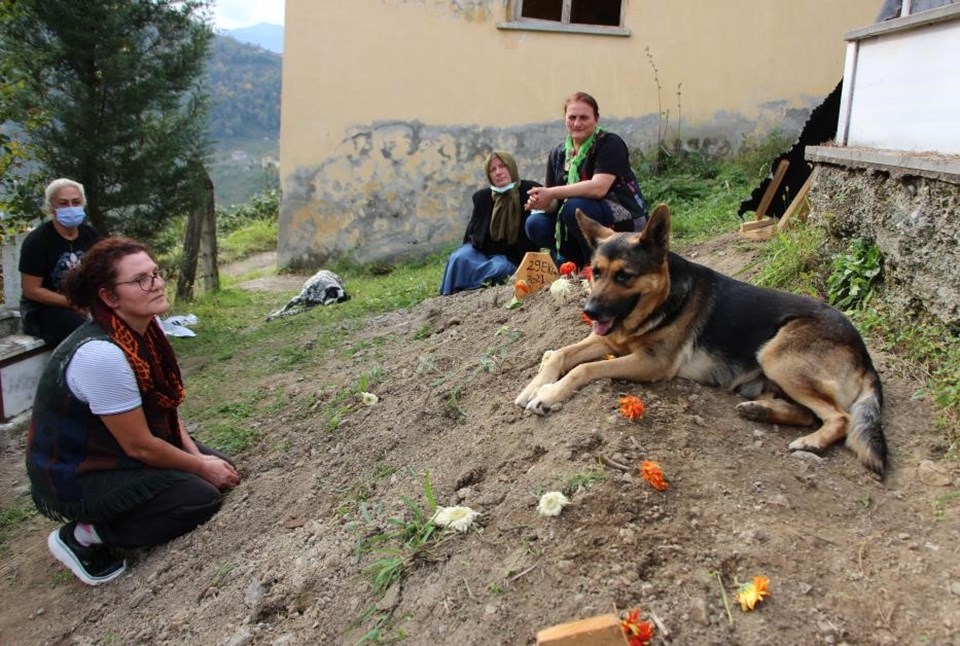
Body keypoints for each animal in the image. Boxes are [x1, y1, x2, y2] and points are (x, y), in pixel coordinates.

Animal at [512, 205, 888, 478]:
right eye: (596, 272)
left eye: (624, 276)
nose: (588, 312)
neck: (662, 299)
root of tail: (864, 354)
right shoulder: (610, 342)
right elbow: (559, 355)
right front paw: (533, 386)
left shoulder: (650, 363)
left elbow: (584, 369)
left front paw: (548, 395)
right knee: (809, 413)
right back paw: (759, 411)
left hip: (777, 356)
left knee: (840, 418)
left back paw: (811, 443)